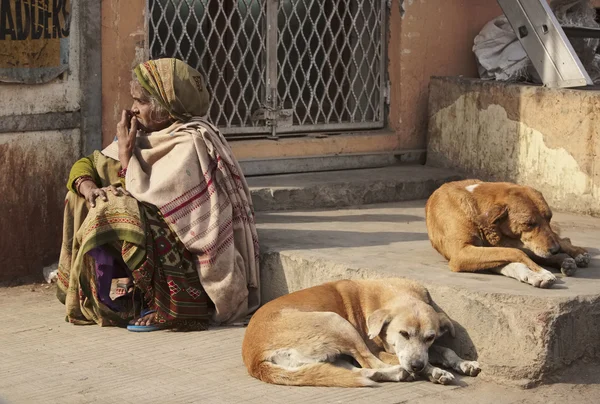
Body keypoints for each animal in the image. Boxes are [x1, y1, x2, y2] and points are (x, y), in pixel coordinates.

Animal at [241, 278, 480, 388]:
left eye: (430, 337)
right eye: (403, 333)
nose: (416, 366)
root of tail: (254, 360)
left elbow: (445, 350)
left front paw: (465, 364)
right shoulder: (382, 350)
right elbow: (418, 358)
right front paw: (435, 371)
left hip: (331, 355)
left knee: (362, 371)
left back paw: (397, 374)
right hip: (337, 323)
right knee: (369, 362)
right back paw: (404, 372)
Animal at [426, 179, 592, 288]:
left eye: (549, 218)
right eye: (529, 224)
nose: (555, 249)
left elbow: (516, 255)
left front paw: (540, 271)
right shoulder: (462, 254)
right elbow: (515, 257)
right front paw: (539, 273)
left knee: (564, 240)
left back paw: (576, 254)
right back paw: (564, 260)